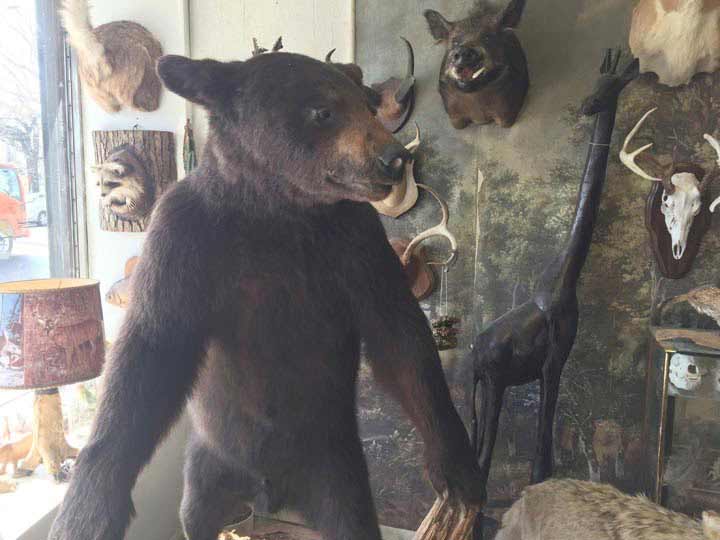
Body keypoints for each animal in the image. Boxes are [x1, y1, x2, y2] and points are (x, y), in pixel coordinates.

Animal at [48, 51, 482, 540]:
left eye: (367, 105)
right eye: (323, 110)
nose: (393, 158)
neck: (276, 207)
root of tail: (268, 492)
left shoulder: (356, 243)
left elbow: (400, 338)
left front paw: (457, 467)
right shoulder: (184, 238)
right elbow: (151, 351)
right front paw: (87, 510)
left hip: (336, 469)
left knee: (350, 516)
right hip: (208, 466)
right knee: (196, 513)